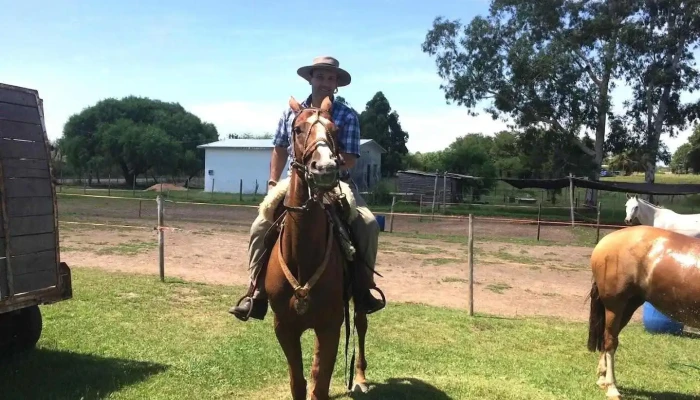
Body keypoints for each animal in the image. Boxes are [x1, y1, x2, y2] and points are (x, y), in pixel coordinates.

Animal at [264, 95, 372, 398]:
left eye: (335, 130)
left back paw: (360, 378)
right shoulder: (284, 326)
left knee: (361, 324)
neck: (303, 254)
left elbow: (319, 385)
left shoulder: (330, 325)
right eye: (297, 129)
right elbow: (299, 382)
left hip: (357, 303)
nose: (323, 169)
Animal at [584, 225, 700, 400]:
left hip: (628, 306)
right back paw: (612, 388)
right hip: (615, 306)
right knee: (610, 341)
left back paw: (602, 379)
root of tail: (605, 241)